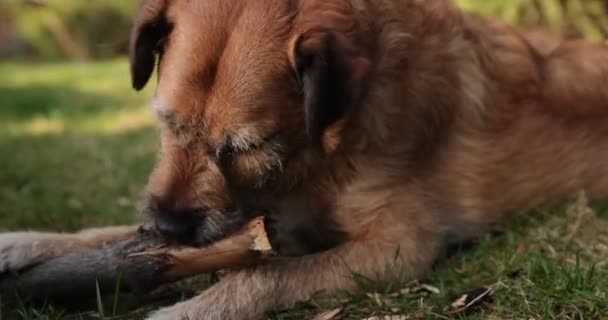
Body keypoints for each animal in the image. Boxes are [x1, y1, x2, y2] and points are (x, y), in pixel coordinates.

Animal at [1, 0, 608, 318]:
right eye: (166, 122)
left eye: (244, 147)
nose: (170, 228)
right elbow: (106, 231)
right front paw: (26, 241)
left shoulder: (397, 248)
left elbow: (264, 277)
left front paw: (182, 310)